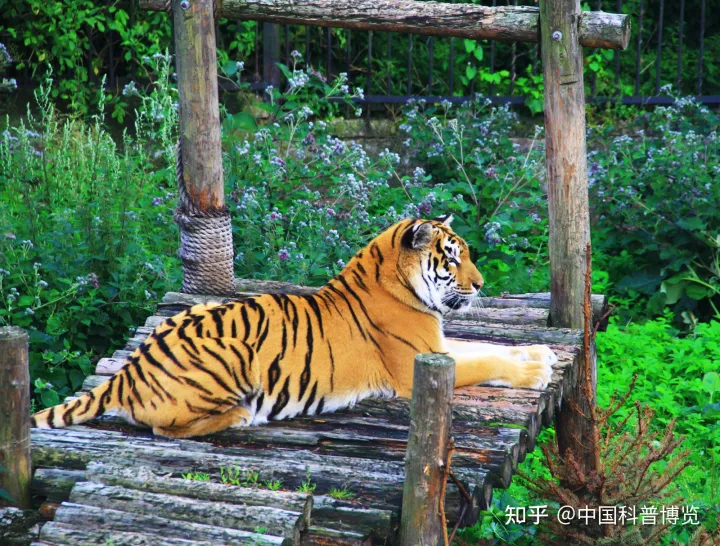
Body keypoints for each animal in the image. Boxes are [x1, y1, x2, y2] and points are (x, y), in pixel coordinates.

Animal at [32, 215, 557, 438]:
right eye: (452, 257)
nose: (482, 283)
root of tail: (126, 373)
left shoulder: (437, 343)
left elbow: (482, 346)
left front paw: (538, 354)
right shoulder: (413, 367)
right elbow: (483, 360)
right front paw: (538, 369)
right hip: (230, 355)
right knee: (165, 429)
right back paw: (241, 416)